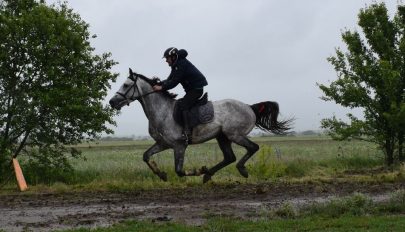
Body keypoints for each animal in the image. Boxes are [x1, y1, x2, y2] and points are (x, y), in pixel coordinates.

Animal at [107, 69, 290, 183]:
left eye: (125, 85)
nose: (112, 102)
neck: (162, 111)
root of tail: (249, 107)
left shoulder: (179, 145)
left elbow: (179, 171)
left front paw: (198, 171)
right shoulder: (163, 144)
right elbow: (146, 156)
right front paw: (162, 175)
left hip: (234, 134)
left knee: (252, 148)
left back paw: (239, 170)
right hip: (222, 137)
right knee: (229, 157)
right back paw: (208, 175)